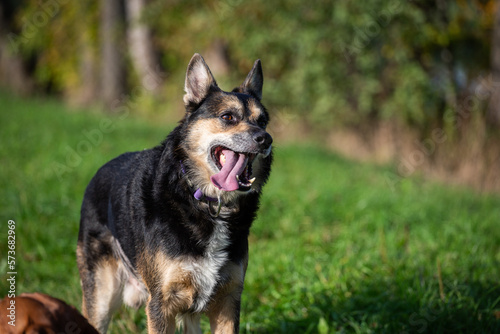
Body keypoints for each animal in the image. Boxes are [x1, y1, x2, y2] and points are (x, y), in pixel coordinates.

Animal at [77, 53, 274, 332]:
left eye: (263, 121)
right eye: (228, 117)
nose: (266, 139)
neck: (202, 200)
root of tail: (99, 172)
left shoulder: (228, 299)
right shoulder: (161, 303)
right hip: (101, 298)